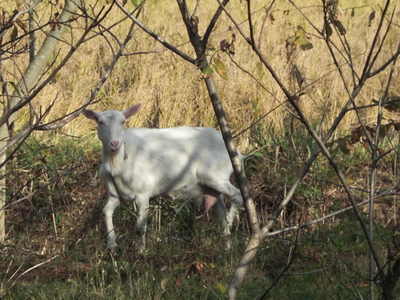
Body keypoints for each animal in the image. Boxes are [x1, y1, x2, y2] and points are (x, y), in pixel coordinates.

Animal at [83, 103, 242, 251]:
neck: (118, 163)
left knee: (237, 195)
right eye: (100, 122)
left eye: (123, 121)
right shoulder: (115, 195)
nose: (114, 144)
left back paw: (230, 221)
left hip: (214, 174)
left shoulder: (143, 193)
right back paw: (226, 247)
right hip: (211, 187)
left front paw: (141, 251)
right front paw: (111, 245)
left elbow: (140, 226)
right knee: (221, 215)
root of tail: (237, 153)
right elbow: (106, 212)